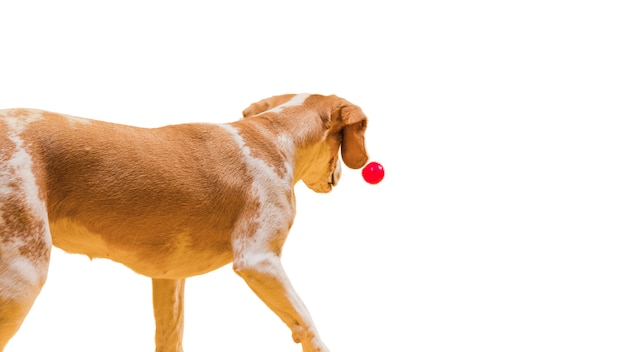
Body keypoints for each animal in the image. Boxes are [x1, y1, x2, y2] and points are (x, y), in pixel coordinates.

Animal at [0, 94, 368, 352]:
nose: (338, 177)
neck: (273, 135)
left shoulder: (169, 279)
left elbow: (170, 336)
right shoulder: (259, 260)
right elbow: (307, 323)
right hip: (23, 277)